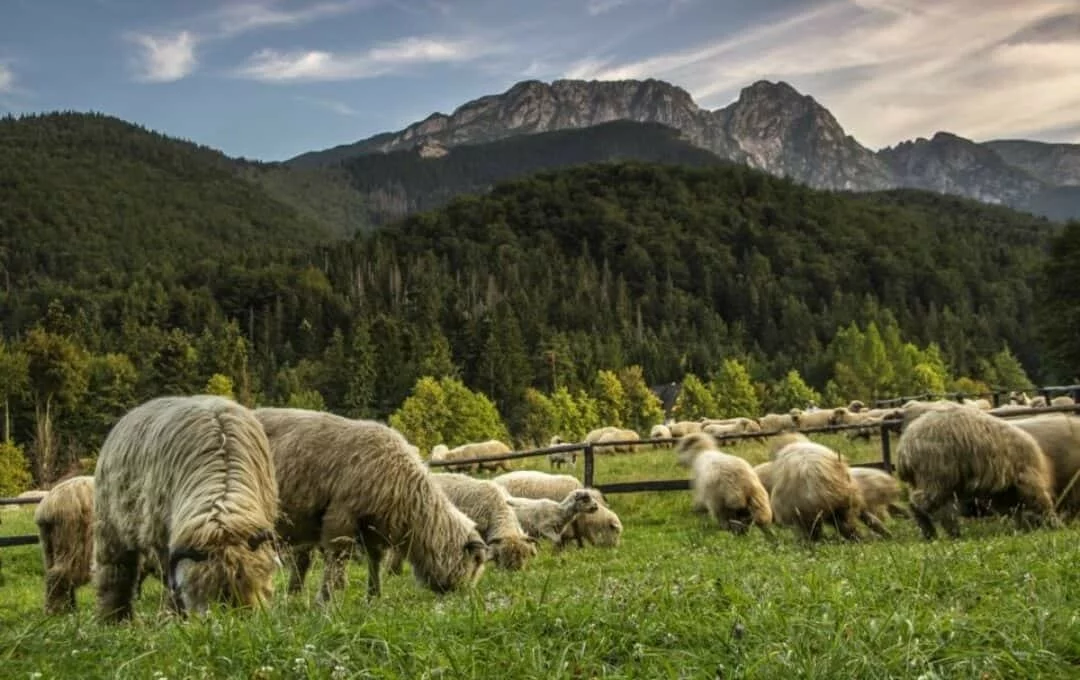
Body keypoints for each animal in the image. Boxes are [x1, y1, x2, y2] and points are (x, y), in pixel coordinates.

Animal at [93, 396, 279, 622]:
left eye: (246, 582)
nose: (232, 616)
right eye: (203, 591)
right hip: (110, 528)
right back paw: (114, 618)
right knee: (115, 572)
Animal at [256, 408, 487, 601]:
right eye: (476, 560)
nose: (464, 596)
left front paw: (374, 597)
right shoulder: (341, 516)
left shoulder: (373, 528)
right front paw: (328, 600)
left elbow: (375, 562)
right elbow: (337, 560)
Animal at [895, 406, 1061, 540]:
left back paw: (932, 534)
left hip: (924, 479)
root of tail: (904, 448)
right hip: (935, 475)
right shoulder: (1026, 480)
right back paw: (945, 533)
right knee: (926, 505)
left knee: (918, 504)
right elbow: (1039, 503)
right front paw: (1053, 524)